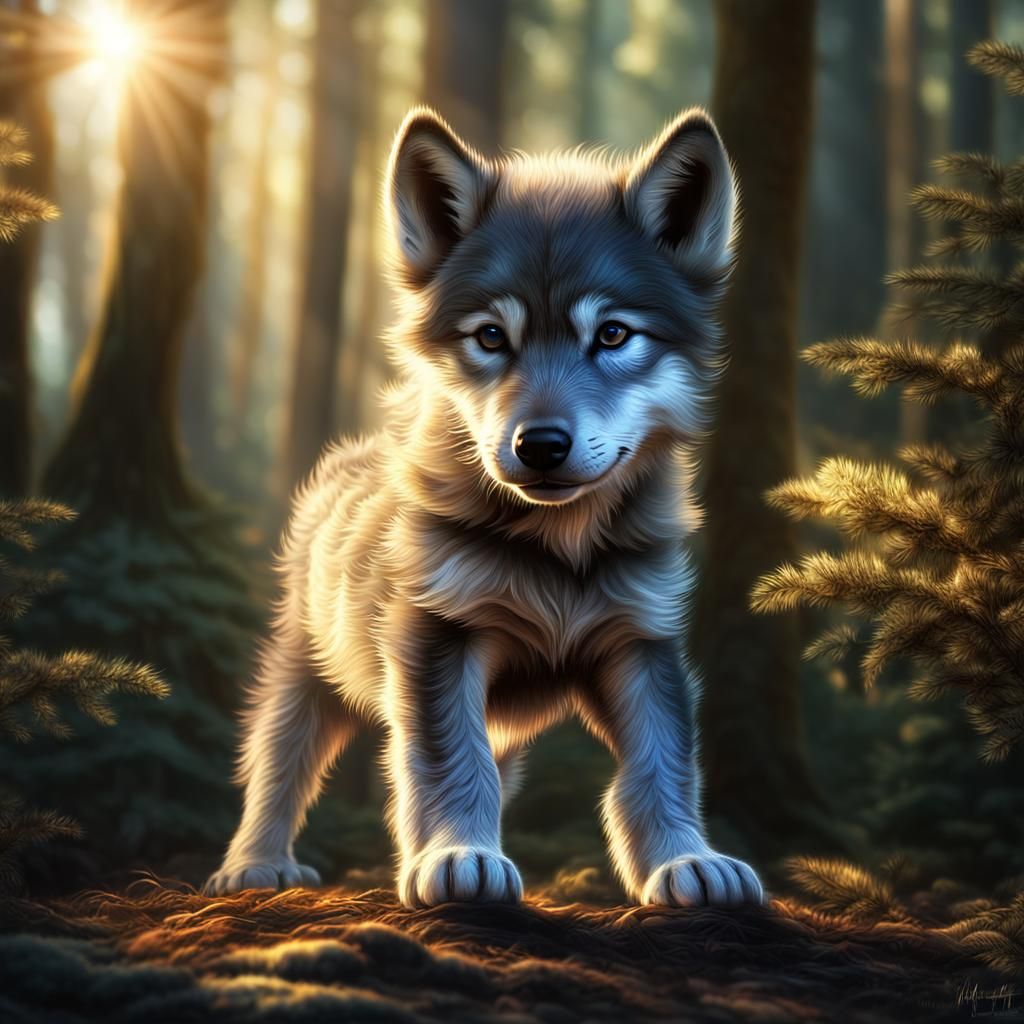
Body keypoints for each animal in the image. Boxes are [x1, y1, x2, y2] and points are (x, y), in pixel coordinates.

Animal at [205, 106, 764, 908]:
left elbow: (661, 767)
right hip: (309, 673)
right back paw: (255, 863)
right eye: (492, 337)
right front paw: (456, 856)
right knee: (278, 762)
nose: (541, 445)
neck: (558, 550)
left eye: (613, 335)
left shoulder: (642, 642)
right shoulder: (435, 640)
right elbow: (446, 760)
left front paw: (686, 862)